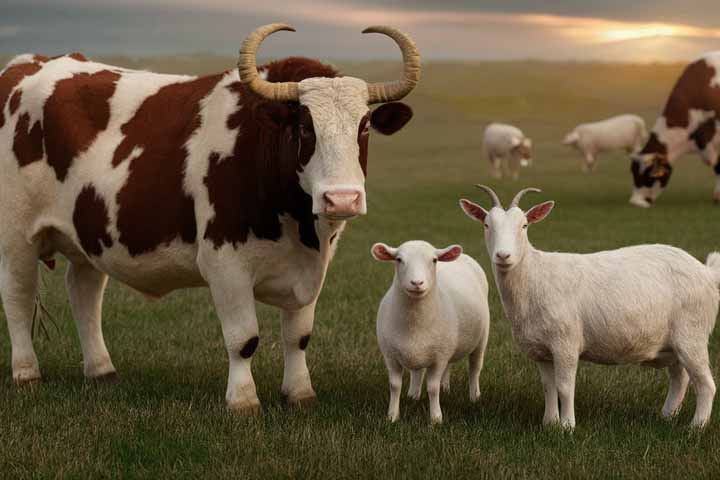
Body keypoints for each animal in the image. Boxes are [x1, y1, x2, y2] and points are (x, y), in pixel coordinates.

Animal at [0, 22, 422, 414]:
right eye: (305, 127)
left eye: (364, 127)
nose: (342, 199)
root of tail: (30, 63)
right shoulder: (225, 263)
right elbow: (244, 338)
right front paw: (243, 400)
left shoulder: (314, 267)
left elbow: (298, 336)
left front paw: (300, 393)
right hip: (17, 236)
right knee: (18, 296)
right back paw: (26, 373)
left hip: (89, 232)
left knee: (84, 293)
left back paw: (102, 371)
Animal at [372, 242, 490, 422]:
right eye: (399, 259)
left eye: (434, 260)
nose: (417, 282)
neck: (414, 324)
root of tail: (463, 256)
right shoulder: (390, 355)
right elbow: (394, 386)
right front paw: (392, 416)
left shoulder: (439, 357)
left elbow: (433, 388)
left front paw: (436, 418)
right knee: (422, 371)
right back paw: (418, 394)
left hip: (481, 339)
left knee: (475, 368)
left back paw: (474, 397)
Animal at [462, 186, 720, 430]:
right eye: (486, 225)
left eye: (524, 225)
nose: (503, 255)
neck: (533, 275)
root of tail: (706, 272)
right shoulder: (541, 349)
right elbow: (548, 387)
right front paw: (549, 423)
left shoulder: (565, 342)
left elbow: (565, 387)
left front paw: (567, 427)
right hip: (674, 343)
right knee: (680, 378)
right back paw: (667, 416)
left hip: (692, 334)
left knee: (706, 384)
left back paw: (696, 427)